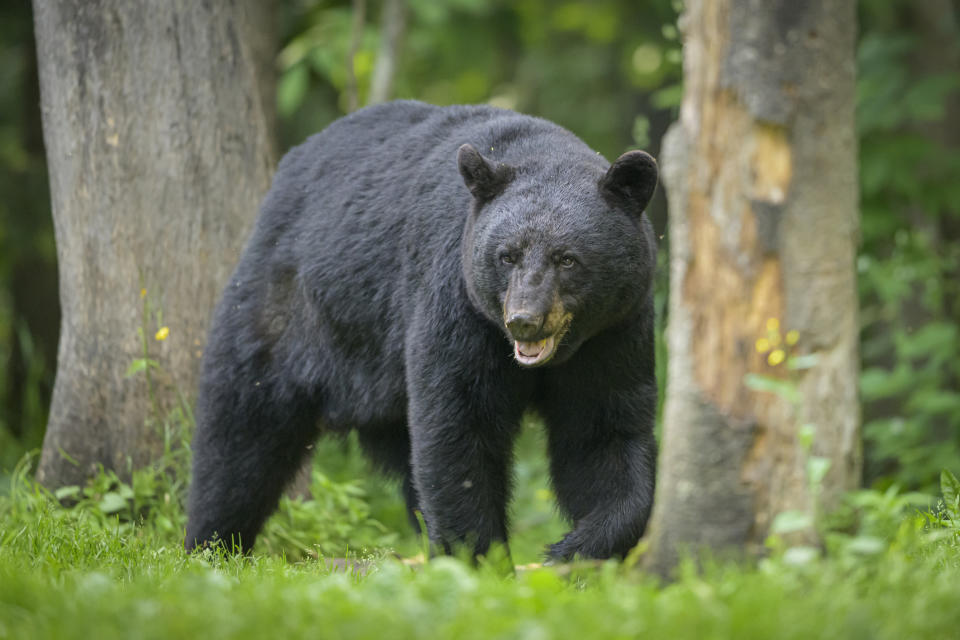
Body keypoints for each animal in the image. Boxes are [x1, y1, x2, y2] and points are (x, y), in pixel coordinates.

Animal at [184, 101, 656, 560]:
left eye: (567, 259)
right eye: (507, 255)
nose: (524, 319)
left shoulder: (613, 333)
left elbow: (603, 433)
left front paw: (576, 548)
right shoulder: (457, 304)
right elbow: (458, 425)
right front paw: (479, 557)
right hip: (287, 311)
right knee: (241, 433)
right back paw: (212, 544)